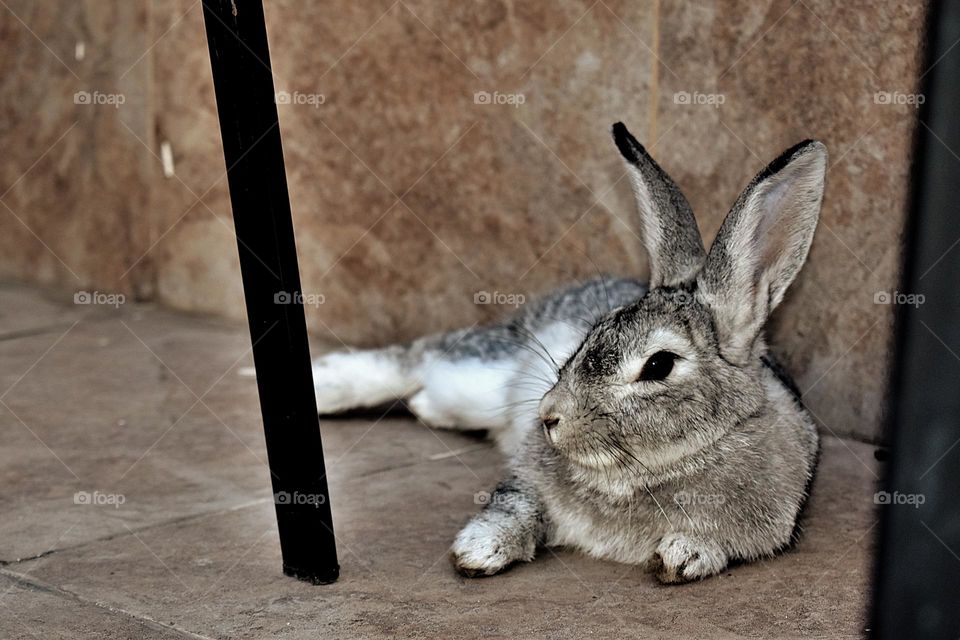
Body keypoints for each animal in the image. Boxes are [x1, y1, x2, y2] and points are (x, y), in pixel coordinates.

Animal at [312, 121, 825, 583]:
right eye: (595, 330)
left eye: (659, 364)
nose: (548, 416)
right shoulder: (526, 481)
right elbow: (514, 507)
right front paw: (478, 550)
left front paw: (681, 557)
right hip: (478, 375)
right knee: (413, 360)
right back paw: (323, 386)